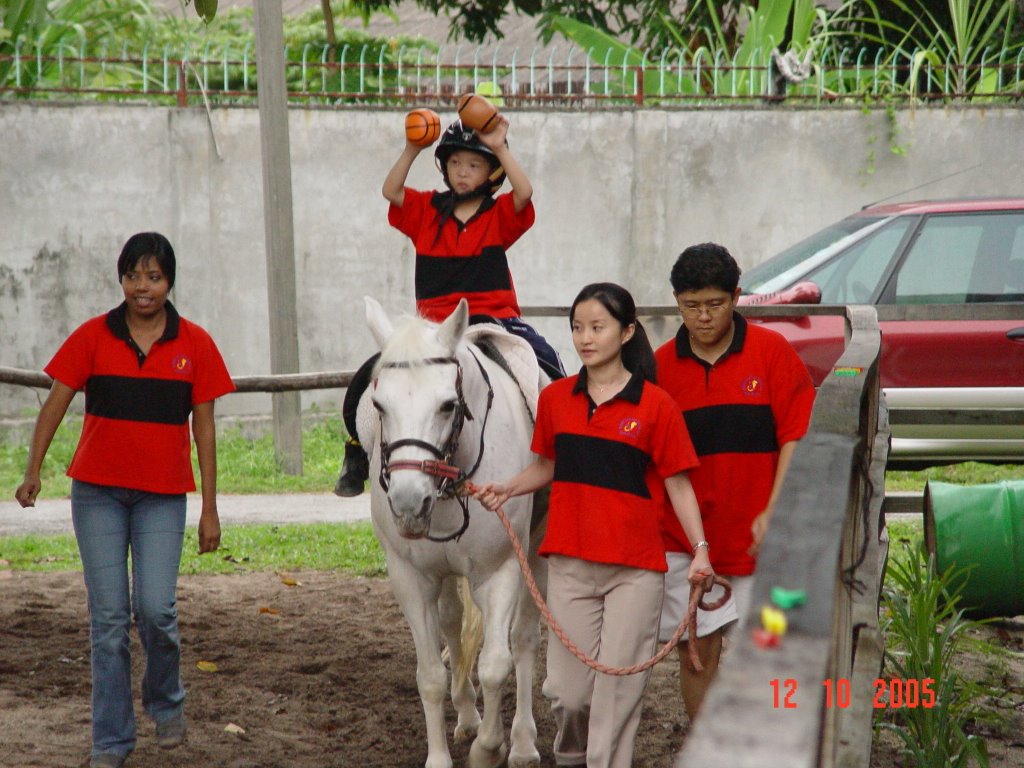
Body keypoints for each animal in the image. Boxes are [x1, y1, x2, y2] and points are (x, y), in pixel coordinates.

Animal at [362, 296, 552, 768]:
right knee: (452, 622)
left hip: (534, 554)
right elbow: (430, 674)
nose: (408, 503)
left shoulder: (501, 570)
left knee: (523, 640)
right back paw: (467, 716)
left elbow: (496, 664)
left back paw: (522, 743)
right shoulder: (411, 577)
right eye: (380, 405)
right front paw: (441, 755)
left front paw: (488, 748)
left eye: (448, 404)